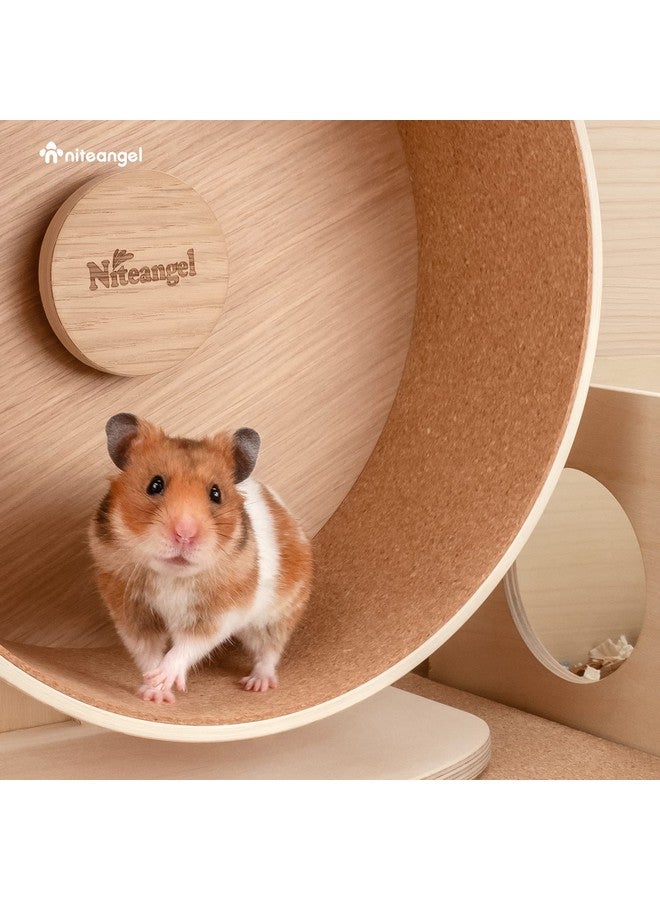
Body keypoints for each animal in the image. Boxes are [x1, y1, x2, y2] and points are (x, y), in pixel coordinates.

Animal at [88, 413, 312, 704]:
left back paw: (256, 684)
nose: (185, 533)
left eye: (216, 493)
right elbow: (147, 653)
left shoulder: (217, 615)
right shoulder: (132, 612)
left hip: (276, 616)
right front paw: (154, 693)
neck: (172, 575)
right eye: (155, 484)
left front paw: (165, 681)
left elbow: (186, 648)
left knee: (268, 652)